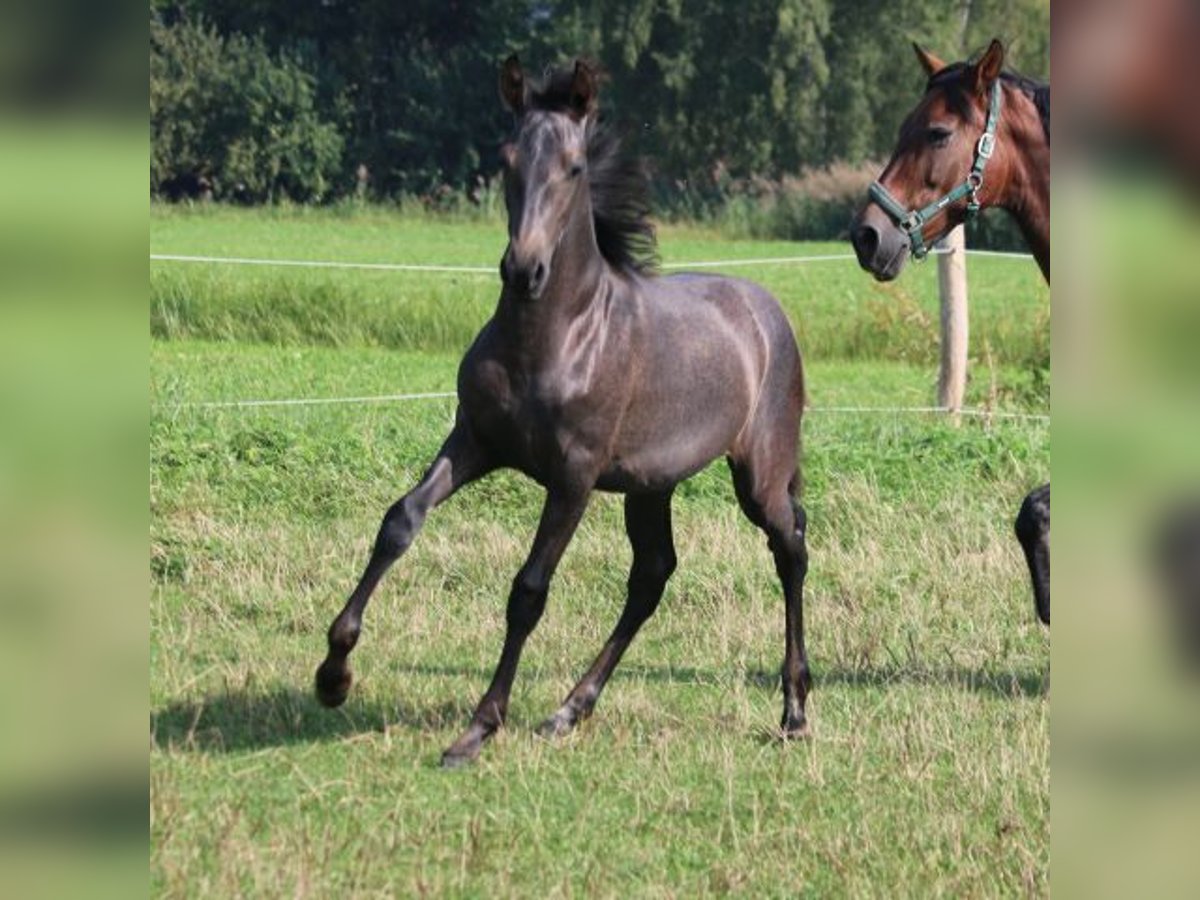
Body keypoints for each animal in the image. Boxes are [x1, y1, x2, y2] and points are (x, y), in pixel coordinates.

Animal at [314, 56, 811, 763]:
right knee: (652, 576)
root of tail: (767, 312)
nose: (524, 269)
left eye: (575, 167)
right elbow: (399, 522)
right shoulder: (474, 440)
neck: (556, 340)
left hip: (759, 474)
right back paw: (568, 710)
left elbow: (528, 590)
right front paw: (334, 675)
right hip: (649, 487)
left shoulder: (573, 478)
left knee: (789, 547)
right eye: (506, 158)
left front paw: (477, 728)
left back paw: (794, 709)